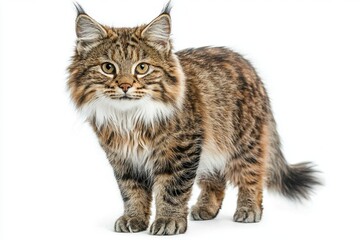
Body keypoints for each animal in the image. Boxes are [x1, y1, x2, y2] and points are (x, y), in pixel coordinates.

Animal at [67, 0, 320, 235]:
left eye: (142, 68)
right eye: (108, 68)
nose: (125, 86)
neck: (130, 118)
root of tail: (248, 65)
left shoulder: (180, 150)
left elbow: (172, 190)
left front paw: (168, 221)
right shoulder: (123, 159)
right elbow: (131, 191)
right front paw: (134, 218)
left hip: (245, 141)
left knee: (253, 174)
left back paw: (249, 209)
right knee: (216, 180)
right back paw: (206, 208)